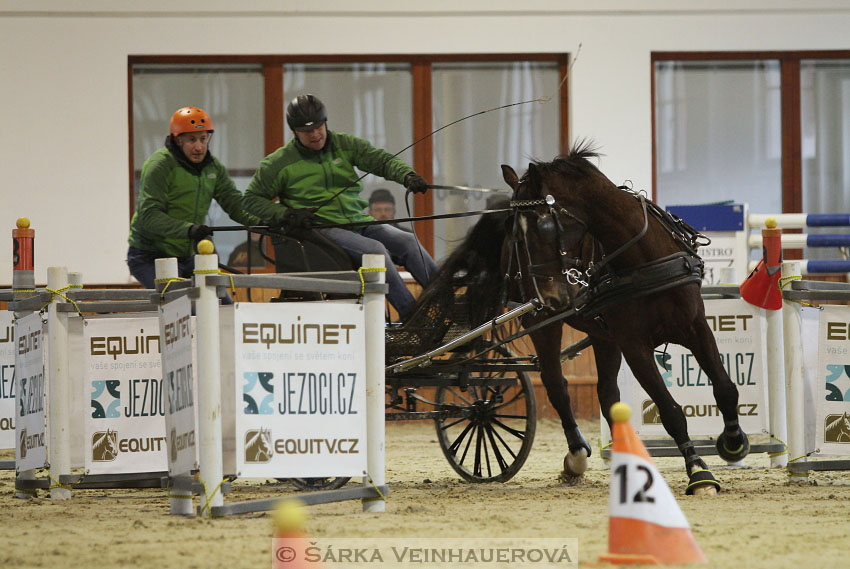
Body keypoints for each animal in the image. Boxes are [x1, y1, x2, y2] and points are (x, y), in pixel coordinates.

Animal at [448, 142, 744, 492]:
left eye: (542, 226)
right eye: (514, 230)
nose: (549, 296)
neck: (642, 258)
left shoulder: (694, 326)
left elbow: (725, 388)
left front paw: (733, 441)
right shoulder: (634, 344)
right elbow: (670, 410)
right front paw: (699, 472)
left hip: (603, 335)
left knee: (607, 394)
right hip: (542, 325)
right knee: (556, 384)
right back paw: (576, 455)